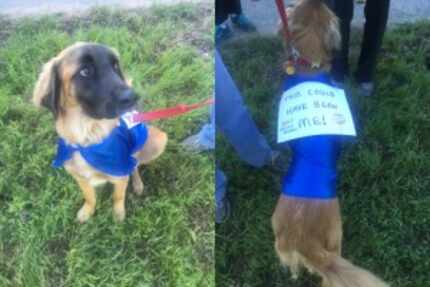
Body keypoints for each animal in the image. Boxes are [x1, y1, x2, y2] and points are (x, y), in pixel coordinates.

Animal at [32, 42, 167, 223]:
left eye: (115, 66)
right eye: (85, 71)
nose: (133, 96)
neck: (89, 138)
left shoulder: (119, 175)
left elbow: (118, 196)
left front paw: (118, 215)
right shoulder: (80, 178)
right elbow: (90, 197)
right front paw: (87, 211)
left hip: (157, 140)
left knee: (135, 164)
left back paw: (138, 184)